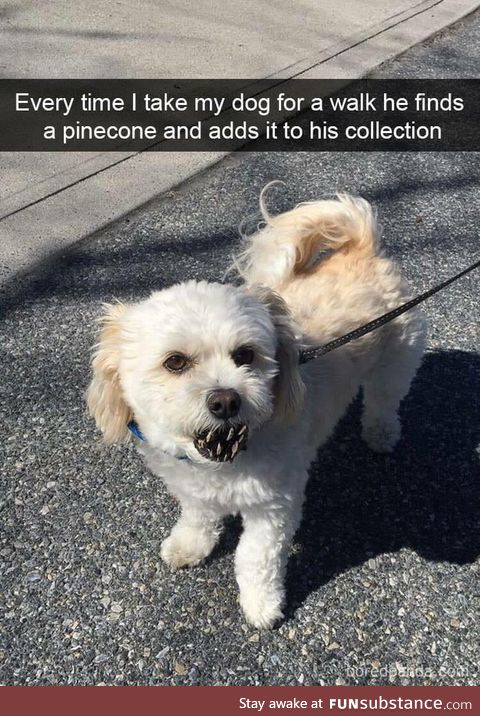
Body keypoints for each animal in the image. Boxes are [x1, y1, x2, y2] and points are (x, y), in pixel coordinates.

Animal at [88, 192, 426, 628]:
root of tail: (362, 245)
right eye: (175, 362)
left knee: (385, 400)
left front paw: (261, 605)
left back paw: (381, 434)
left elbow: (255, 558)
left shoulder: (273, 506)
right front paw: (189, 545)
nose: (225, 399)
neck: (221, 458)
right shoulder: (192, 489)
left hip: (397, 359)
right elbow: (197, 517)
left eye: (245, 355)